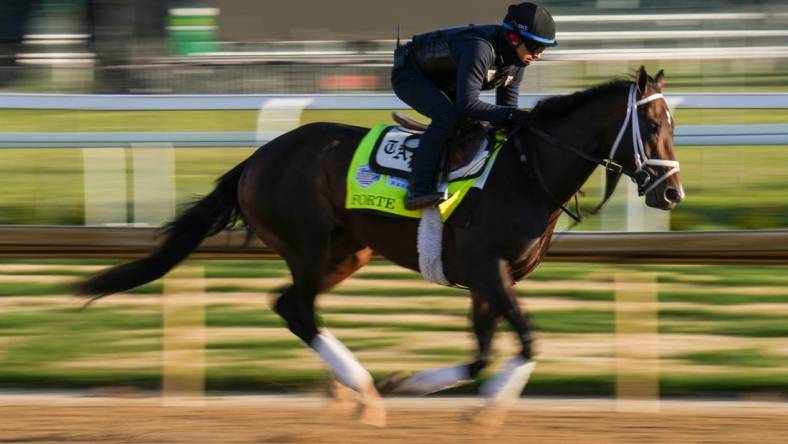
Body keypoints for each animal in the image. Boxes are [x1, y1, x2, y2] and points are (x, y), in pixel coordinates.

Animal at [78, 66, 684, 426]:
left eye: (674, 124)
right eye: (653, 123)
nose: (672, 192)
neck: (528, 171)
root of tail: (256, 158)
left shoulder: (488, 279)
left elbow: (481, 353)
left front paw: (416, 386)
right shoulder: (490, 270)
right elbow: (529, 341)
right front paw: (479, 408)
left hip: (349, 251)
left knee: (287, 304)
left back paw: (362, 389)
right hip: (306, 242)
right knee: (297, 309)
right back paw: (363, 390)